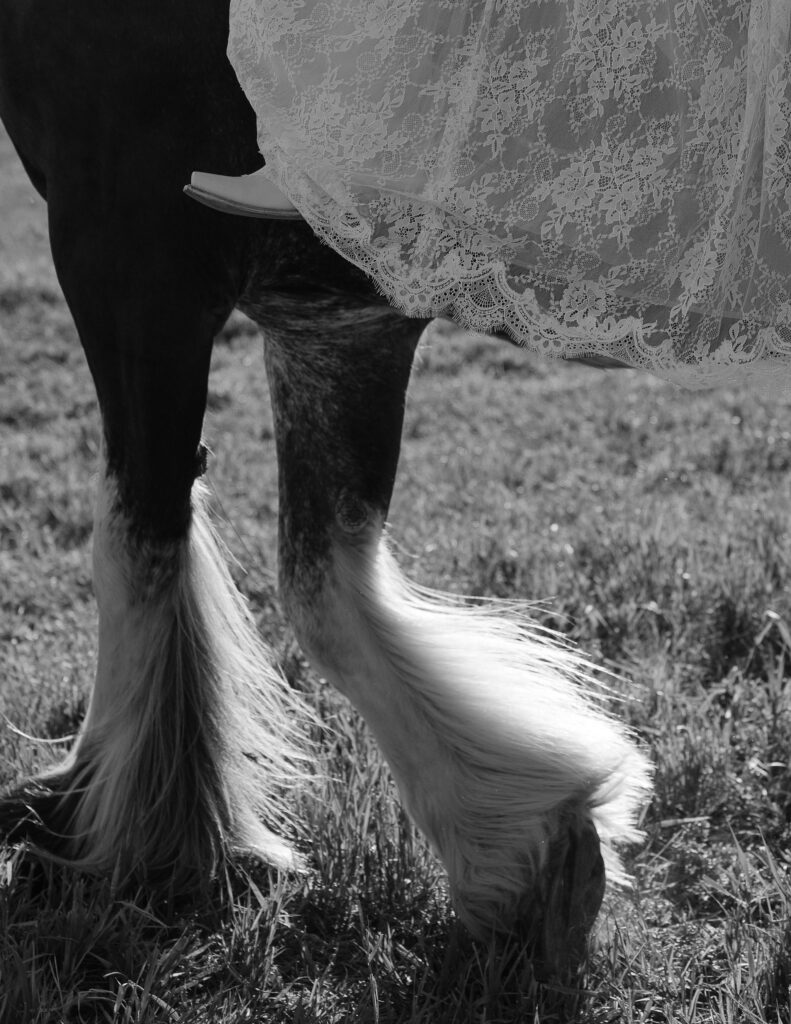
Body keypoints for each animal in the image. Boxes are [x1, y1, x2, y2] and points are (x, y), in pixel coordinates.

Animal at [0, 0, 650, 974]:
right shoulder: (337, 316)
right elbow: (323, 580)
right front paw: (523, 845)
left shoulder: (128, 235)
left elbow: (138, 541)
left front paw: (127, 843)